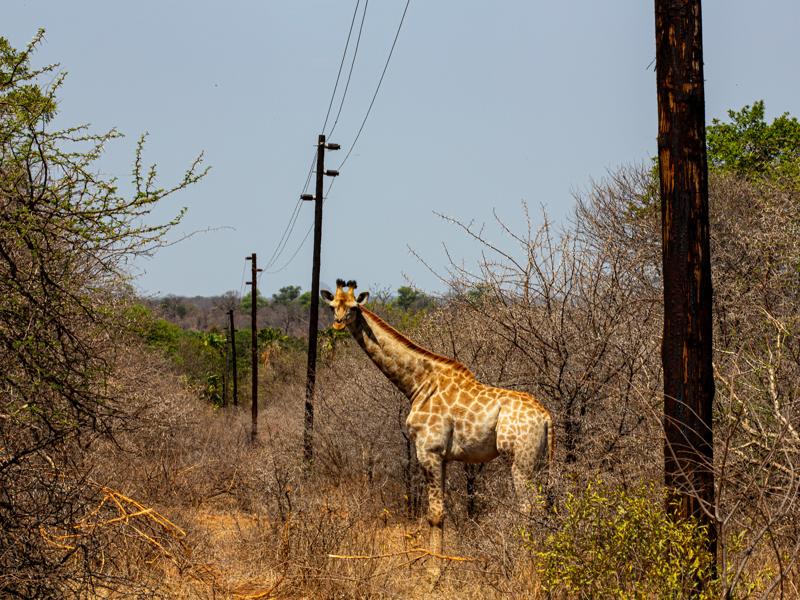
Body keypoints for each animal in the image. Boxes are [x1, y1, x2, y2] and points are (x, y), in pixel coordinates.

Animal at [321, 279, 554, 561]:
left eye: (354, 307)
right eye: (333, 305)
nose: (338, 323)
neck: (418, 384)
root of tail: (546, 416)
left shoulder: (428, 450)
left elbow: (434, 515)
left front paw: (433, 570)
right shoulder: (443, 457)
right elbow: (440, 514)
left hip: (520, 460)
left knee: (529, 508)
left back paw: (524, 562)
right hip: (539, 460)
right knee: (543, 507)